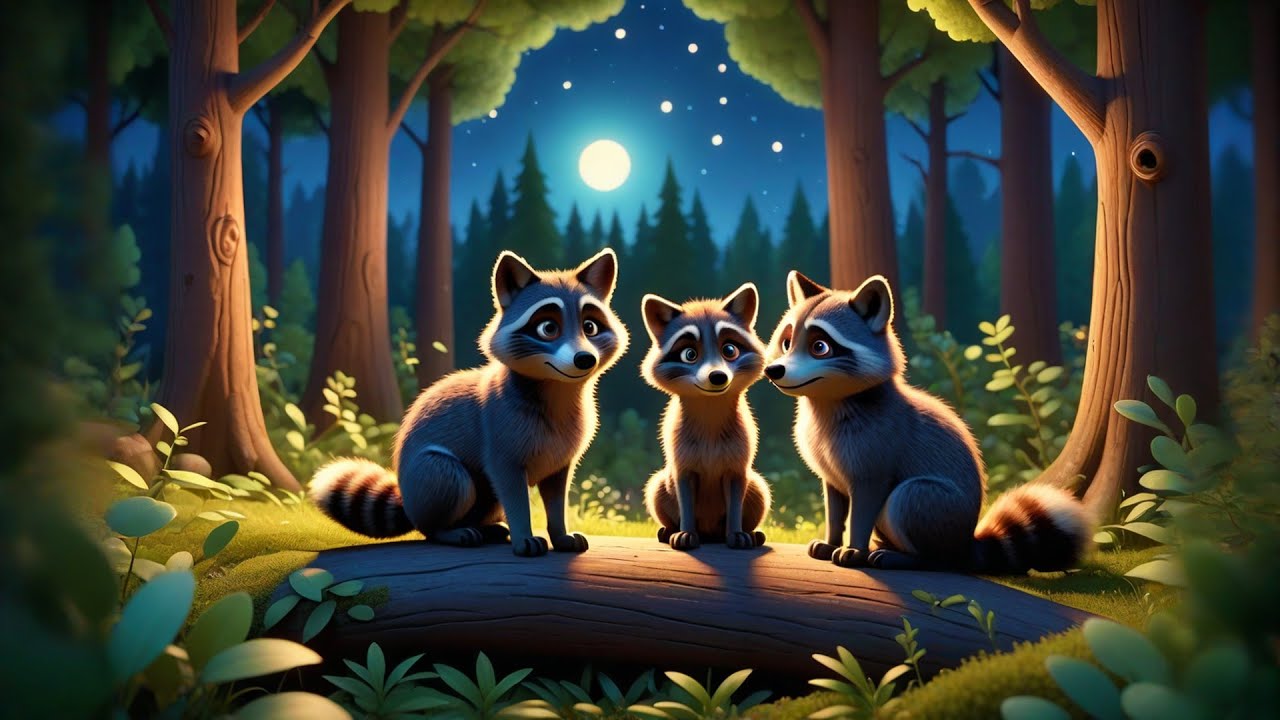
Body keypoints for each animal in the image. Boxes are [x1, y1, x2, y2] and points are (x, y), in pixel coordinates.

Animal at [309, 249, 628, 557]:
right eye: (548, 328)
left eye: (590, 326)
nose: (585, 359)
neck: (557, 390)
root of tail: (409, 503)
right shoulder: (500, 437)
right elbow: (512, 492)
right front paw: (524, 536)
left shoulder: (560, 459)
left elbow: (556, 497)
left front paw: (560, 534)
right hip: (431, 474)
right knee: (451, 485)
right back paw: (448, 531)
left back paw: (485, 528)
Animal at [640, 283, 772, 551]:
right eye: (689, 354)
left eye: (729, 350)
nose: (718, 376)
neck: (710, 418)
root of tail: (710, 533)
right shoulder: (683, 469)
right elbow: (686, 508)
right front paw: (685, 533)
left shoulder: (736, 470)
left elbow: (735, 509)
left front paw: (737, 534)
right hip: (658, 484)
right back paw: (669, 531)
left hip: (758, 486)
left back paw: (751, 534)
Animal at [762, 270, 1090, 572]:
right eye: (787, 342)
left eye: (820, 347)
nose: (774, 370)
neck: (826, 403)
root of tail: (964, 544)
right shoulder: (830, 473)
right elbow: (834, 506)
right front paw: (831, 540)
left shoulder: (876, 456)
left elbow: (863, 508)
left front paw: (854, 548)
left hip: (934, 507)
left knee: (908, 502)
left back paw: (912, 558)